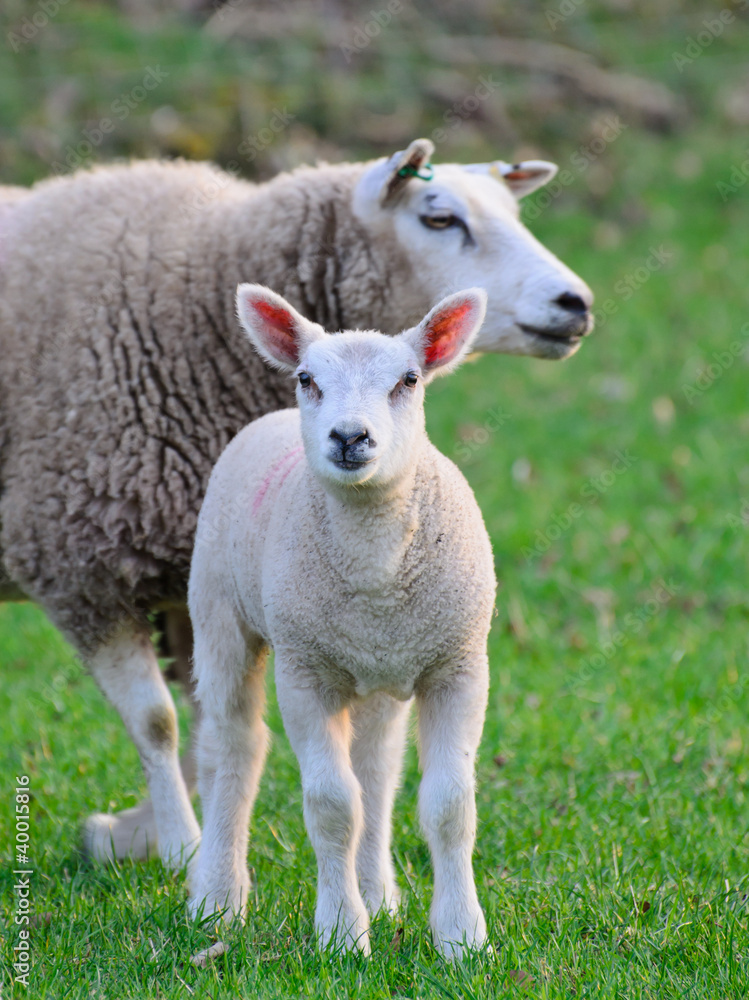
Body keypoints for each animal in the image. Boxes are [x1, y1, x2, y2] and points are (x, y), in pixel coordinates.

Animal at [0, 137, 592, 864]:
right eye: (439, 218)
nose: (574, 302)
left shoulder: (197, 574)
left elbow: (209, 722)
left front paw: (137, 835)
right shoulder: (77, 563)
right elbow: (158, 721)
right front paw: (177, 845)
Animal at [188, 284, 496, 960]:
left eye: (409, 379)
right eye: (307, 378)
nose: (350, 436)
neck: (376, 572)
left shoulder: (457, 663)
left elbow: (450, 806)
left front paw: (462, 938)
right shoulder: (307, 671)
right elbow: (331, 806)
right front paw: (340, 936)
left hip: (378, 670)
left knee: (376, 768)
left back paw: (377, 893)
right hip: (219, 612)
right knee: (233, 745)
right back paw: (217, 900)